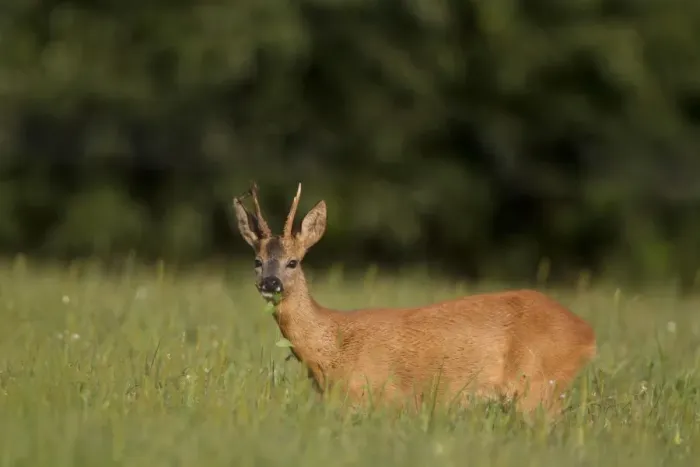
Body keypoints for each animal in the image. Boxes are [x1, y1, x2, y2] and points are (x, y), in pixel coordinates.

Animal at [232, 182, 597, 417]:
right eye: (257, 261)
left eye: (293, 262)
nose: (271, 282)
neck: (331, 347)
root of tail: (587, 333)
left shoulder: (377, 397)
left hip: (538, 386)